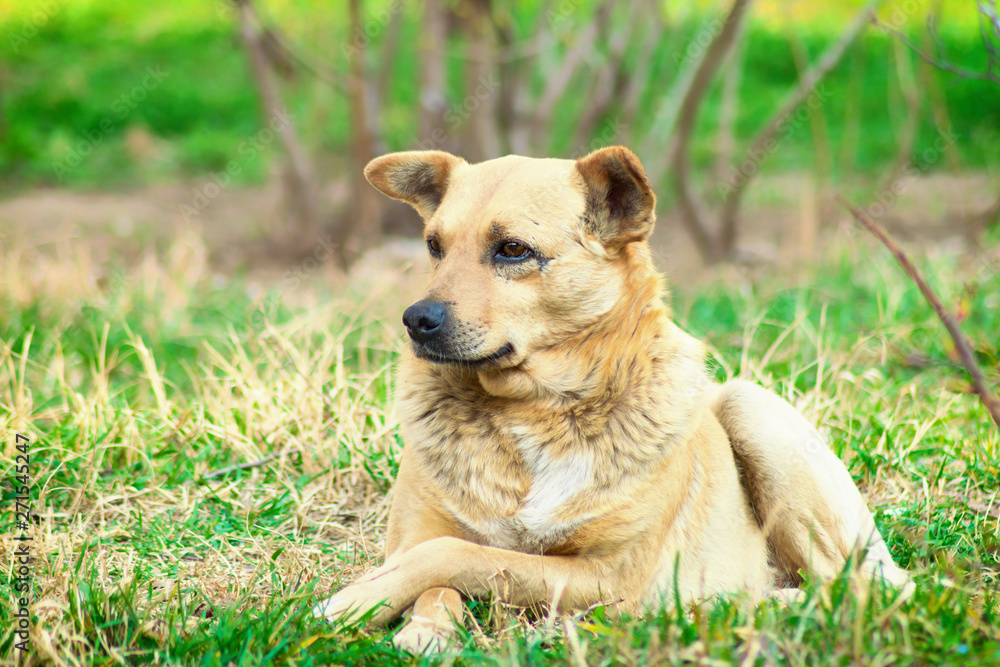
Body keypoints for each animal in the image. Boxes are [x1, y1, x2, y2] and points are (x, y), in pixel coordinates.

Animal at [314, 145, 916, 652]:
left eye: (512, 250)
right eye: (434, 246)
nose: (416, 320)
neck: (532, 411)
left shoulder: (612, 575)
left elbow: (456, 554)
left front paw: (350, 602)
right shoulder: (416, 533)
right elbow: (438, 567)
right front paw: (425, 627)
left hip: (753, 412)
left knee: (856, 590)